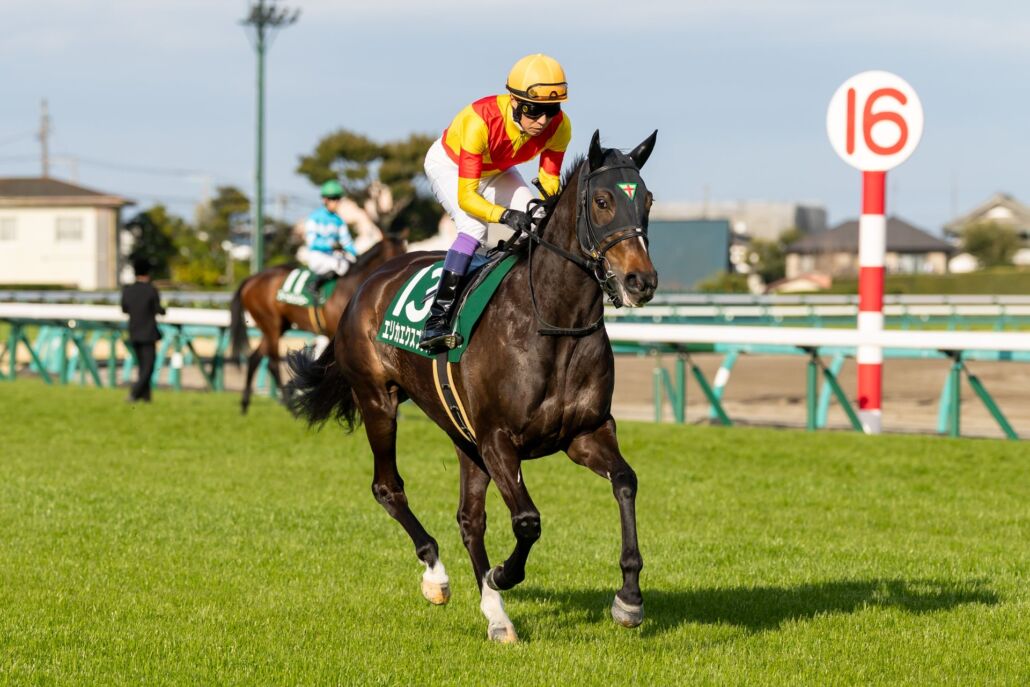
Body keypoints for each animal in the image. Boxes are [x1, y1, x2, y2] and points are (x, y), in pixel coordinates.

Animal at [228, 233, 407, 414]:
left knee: (254, 358)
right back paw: (289, 404)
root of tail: (251, 279)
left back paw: (245, 404)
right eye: (394, 254)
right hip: (272, 325)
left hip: (277, 326)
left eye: (404, 250)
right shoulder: (338, 335)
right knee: (272, 363)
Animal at [286, 130, 658, 642]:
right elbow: (527, 521)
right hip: (379, 401)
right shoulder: (498, 438)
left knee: (469, 518)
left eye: (648, 200)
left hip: (461, 432)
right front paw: (502, 574)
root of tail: (364, 285)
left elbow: (626, 482)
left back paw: (495, 615)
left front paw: (629, 599)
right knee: (388, 488)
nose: (641, 281)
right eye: (602, 201)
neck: (554, 322)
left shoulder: (587, 432)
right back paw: (438, 576)